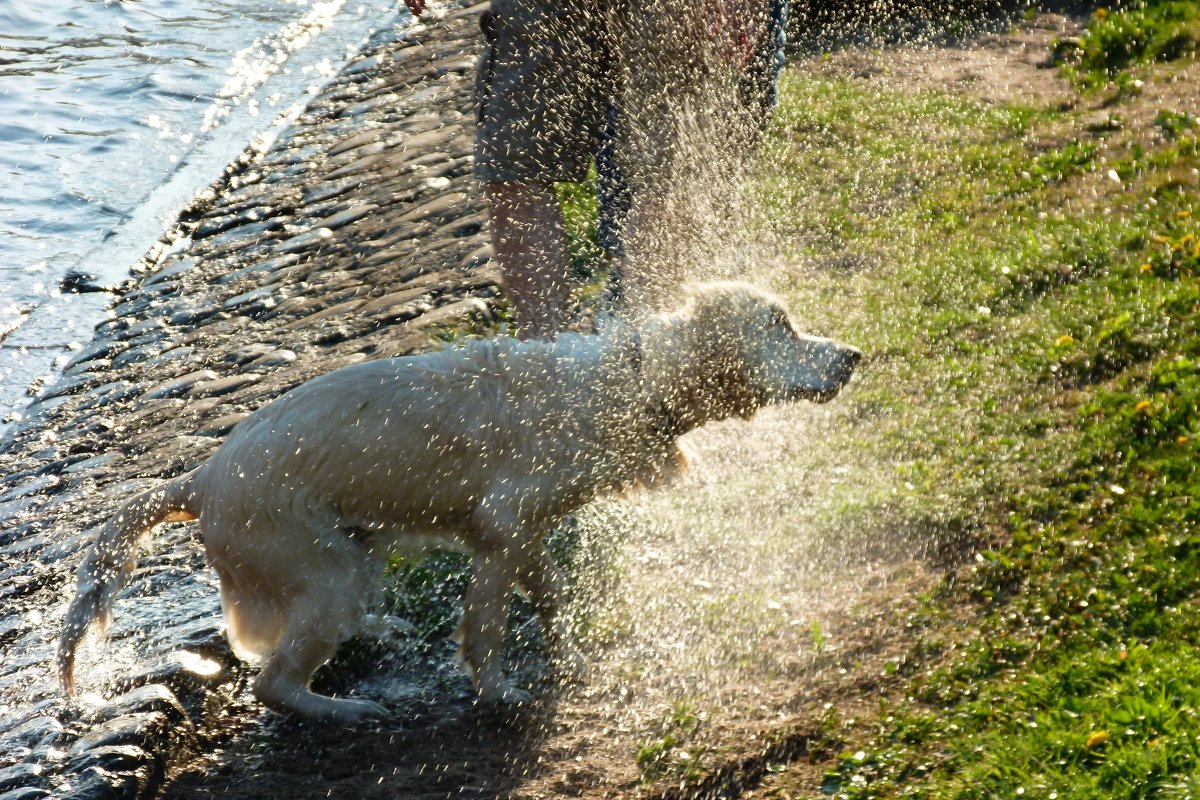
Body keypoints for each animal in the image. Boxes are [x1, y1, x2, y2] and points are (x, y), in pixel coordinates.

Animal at [58, 283, 864, 724]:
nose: (854, 355)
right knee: (271, 682)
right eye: (782, 327)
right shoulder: (504, 529)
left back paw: (379, 631)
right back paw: (348, 707)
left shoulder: (525, 534)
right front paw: (500, 693)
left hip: (349, 558)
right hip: (323, 571)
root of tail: (200, 478)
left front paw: (573, 645)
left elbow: (550, 595)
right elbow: (488, 628)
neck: (624, 388)